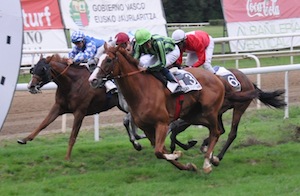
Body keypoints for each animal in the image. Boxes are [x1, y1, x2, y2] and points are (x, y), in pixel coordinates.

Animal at [88, 45, 258, 173]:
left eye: (109, 60)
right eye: (97, 59)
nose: (92, 80)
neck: (142, 90)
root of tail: (217, 78)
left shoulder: (162, 123)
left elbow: (159, 151)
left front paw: (177, 153)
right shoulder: (148, 129)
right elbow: (161, 151)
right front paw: (186, 164)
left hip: (212, 110)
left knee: (217, 132)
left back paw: (208, 162)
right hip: (193, 115)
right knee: (216, 130)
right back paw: (206, 153)